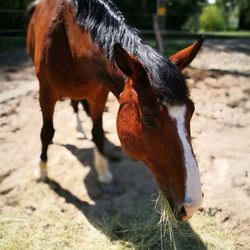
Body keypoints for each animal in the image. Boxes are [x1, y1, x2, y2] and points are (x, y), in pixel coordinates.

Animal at [26, 0, 203, 221]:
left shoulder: (98, 95)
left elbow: (98, 133)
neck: (69, 43)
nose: (192, 205)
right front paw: (42, 171)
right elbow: (46, 133)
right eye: (149, 119)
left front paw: (103, 173)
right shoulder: (46, 93)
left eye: (191, 111)